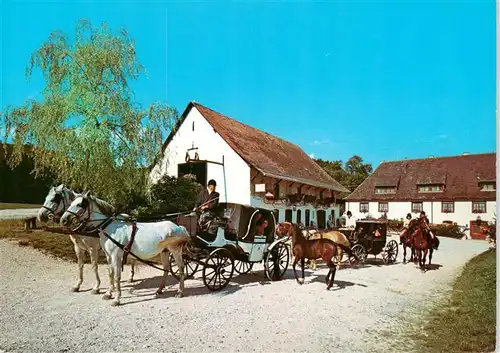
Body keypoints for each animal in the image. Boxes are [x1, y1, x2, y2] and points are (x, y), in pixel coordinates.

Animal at [59, 191, 191, 304]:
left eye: (80, 204)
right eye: (70, 203)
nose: (63, 220)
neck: (111, 227)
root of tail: (178, 226)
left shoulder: (116, 255)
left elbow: (117, 276)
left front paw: (116, 299)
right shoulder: (108, 256)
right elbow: (111, 274)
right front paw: (108, 294)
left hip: (175, 250)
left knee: (181, 267)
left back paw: (180, 292)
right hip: (164, 251)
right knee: (166, 269)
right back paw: (159, 290)